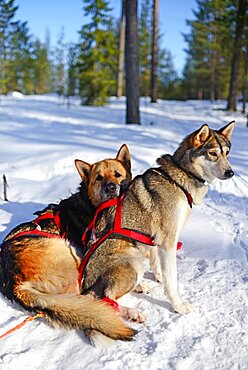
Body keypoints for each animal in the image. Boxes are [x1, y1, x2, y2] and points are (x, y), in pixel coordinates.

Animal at [0, 145, 136, 342]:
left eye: (117, 174)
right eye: (99, 178)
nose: (111, 188)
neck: (91, 205)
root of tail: (12, 281)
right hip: (69, 253)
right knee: (90, 297)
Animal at [81, 123, 234, 328]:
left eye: (227, 153)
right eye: (213, 153)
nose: (230, 173)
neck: (178, 179)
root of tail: (84, 284)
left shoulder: (155, 239)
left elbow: (157, 262)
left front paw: (159, 276)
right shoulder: (168, 242)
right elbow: (172, 281)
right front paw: (178, 306)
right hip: (133, 263)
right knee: (103, 299)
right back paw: (133, 313)